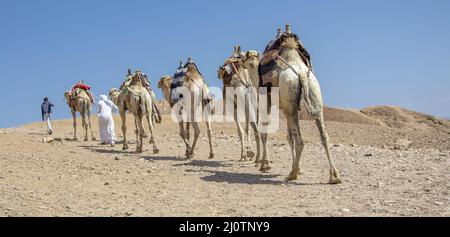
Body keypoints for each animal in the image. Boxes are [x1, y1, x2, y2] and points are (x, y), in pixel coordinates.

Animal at [258, 24, 340, 184]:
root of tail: (301, 73)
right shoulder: (285, 107)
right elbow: (289, 137)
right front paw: (298, 167)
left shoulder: (268, 101)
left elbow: (266, 133)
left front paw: (265, 165)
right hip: (313, 96)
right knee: (323, 136)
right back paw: (334, 176)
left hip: (290, 105)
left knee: (300, 140)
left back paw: (292, 174)